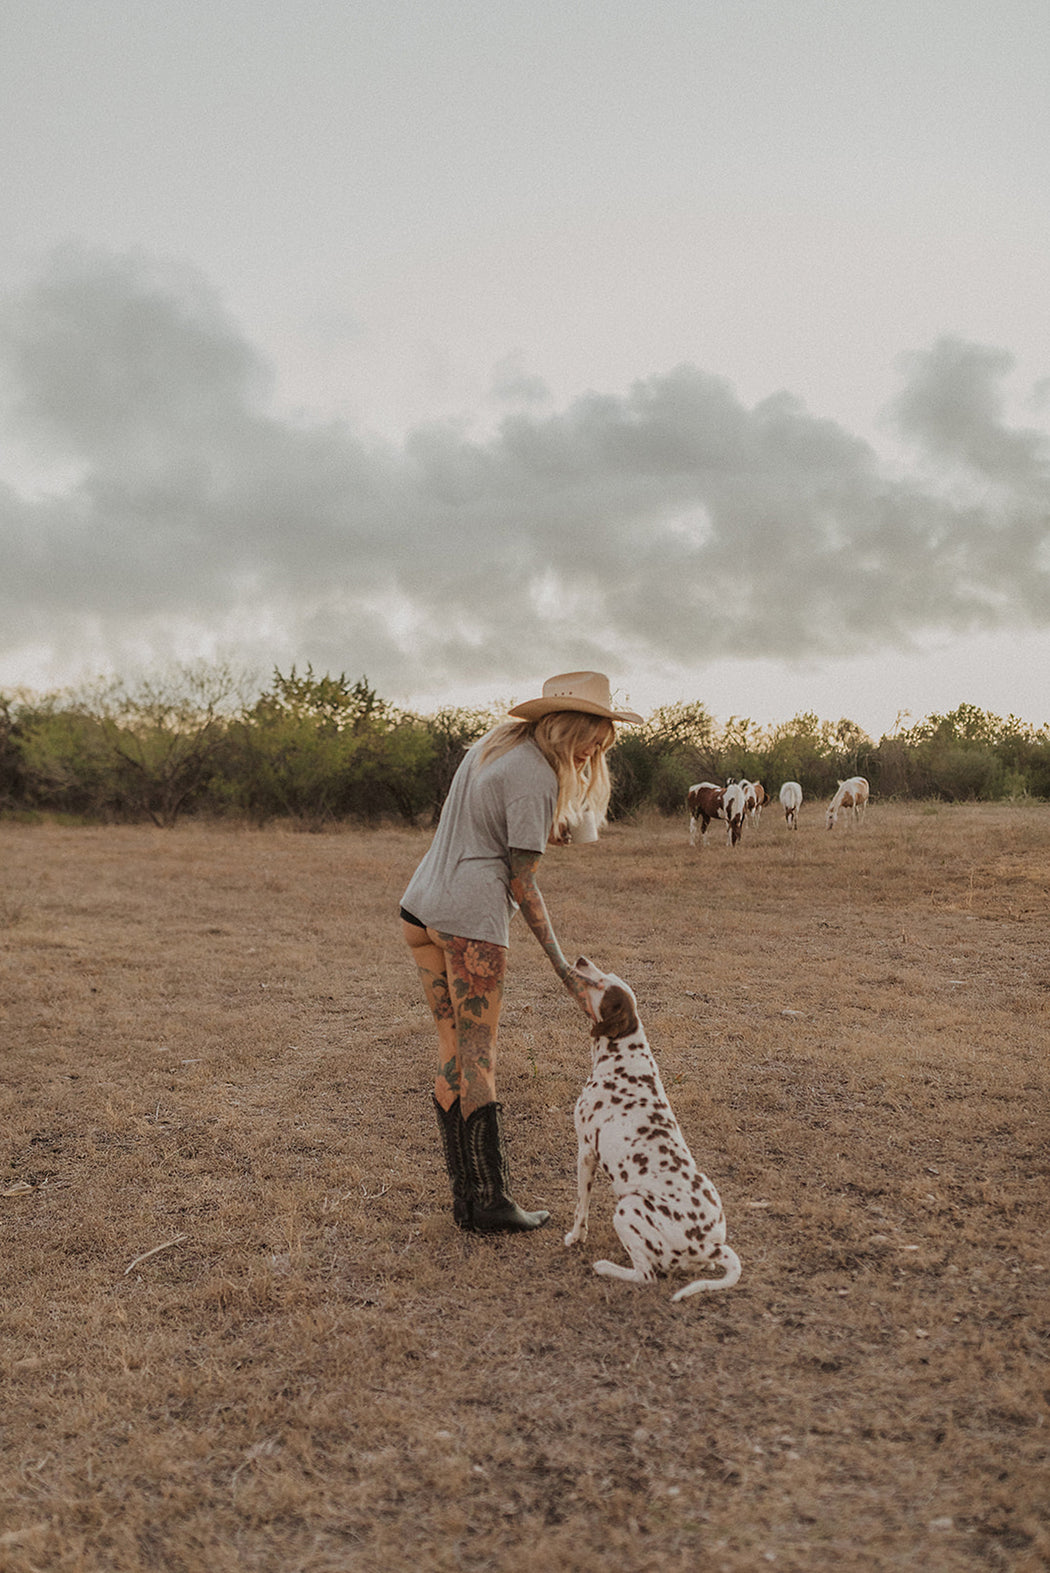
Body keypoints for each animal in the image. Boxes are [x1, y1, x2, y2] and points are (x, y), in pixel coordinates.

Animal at [565, 956, 738, 1302]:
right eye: (606, 973)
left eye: (603, 984)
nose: (581, 960)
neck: (621, 1056)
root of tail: (709, 1247)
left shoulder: (586, 1152)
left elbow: (580, 1208)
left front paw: (576, 1237)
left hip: (628, 1208)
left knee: (646, 1275)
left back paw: (605, 1267)